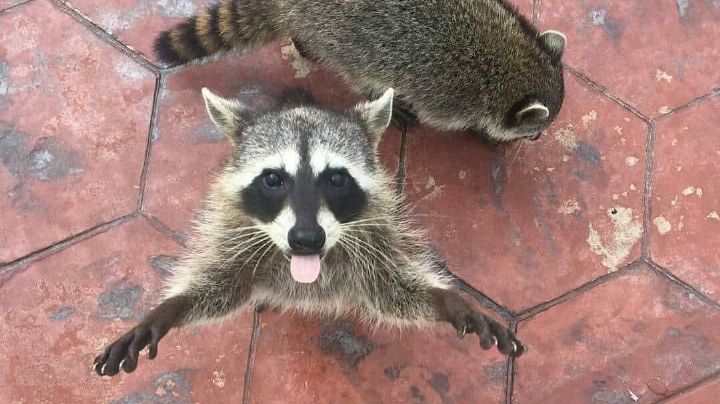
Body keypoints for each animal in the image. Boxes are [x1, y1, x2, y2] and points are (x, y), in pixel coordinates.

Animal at [93, 87, 524, 376]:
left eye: (335, 178)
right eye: (273, 179)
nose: (306, 239)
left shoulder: (376, 234)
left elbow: (392, 290)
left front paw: (447, 301)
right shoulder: (235, 231)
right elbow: (219, 287)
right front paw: (170, 309)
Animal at [153, 0, 568, 143]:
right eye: (534, 130)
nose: (536, 140)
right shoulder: (446, 95)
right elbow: (445, 117)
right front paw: (483, 133)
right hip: (344, 43)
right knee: (355, 70)